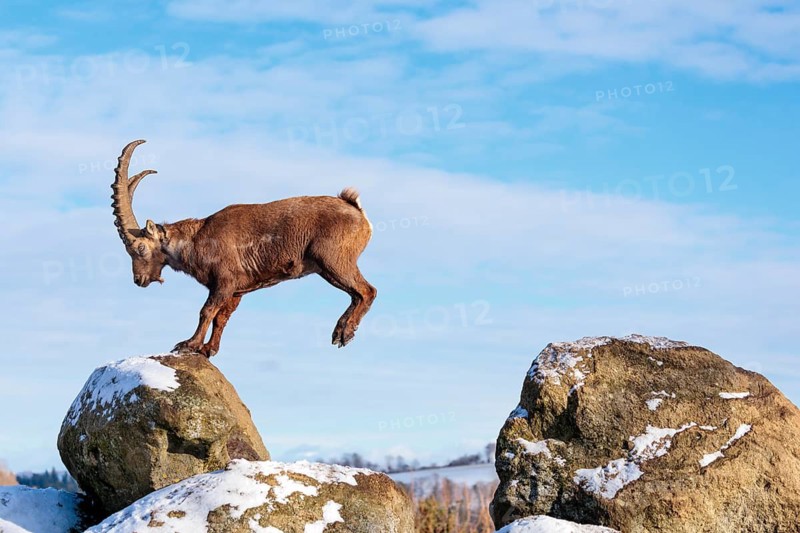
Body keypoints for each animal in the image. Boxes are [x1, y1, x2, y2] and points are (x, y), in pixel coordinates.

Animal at [111, 140, 376, 357]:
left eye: (140, 248)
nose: (139, 279)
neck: (197, 239)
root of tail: (357, 211)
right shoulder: (237, 290)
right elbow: (221, 318)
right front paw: (208, 349)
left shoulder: (224, 281)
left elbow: (206, 311)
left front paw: (189, 344)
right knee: (357, 293)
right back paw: (342, 331)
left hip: (332, 260)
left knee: (367, 291)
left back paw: (344, 333)